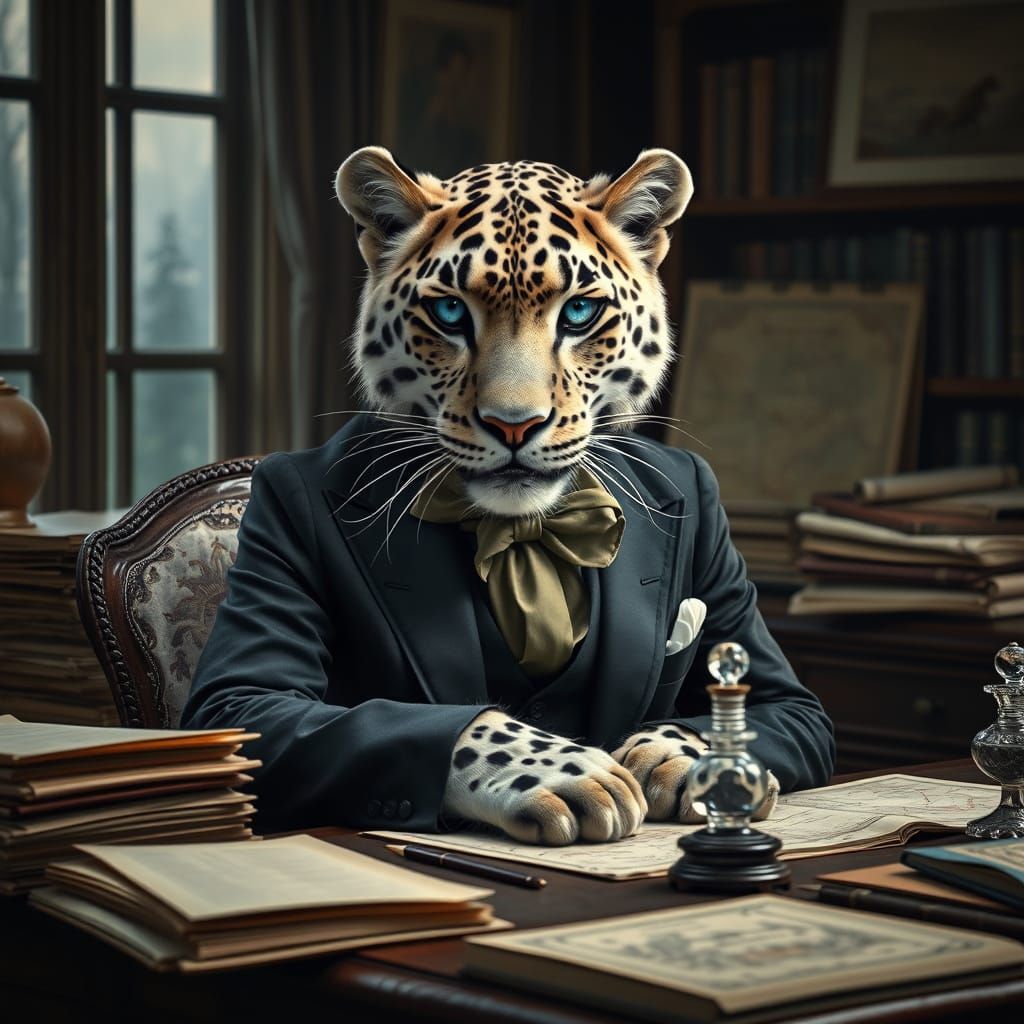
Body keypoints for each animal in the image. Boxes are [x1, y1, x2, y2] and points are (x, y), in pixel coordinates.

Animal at [334, 147, 777, 845]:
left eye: (578, 314)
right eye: (450, 314)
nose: (515, 425)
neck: (522, 530)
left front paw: (675, 757)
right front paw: (564, 775)